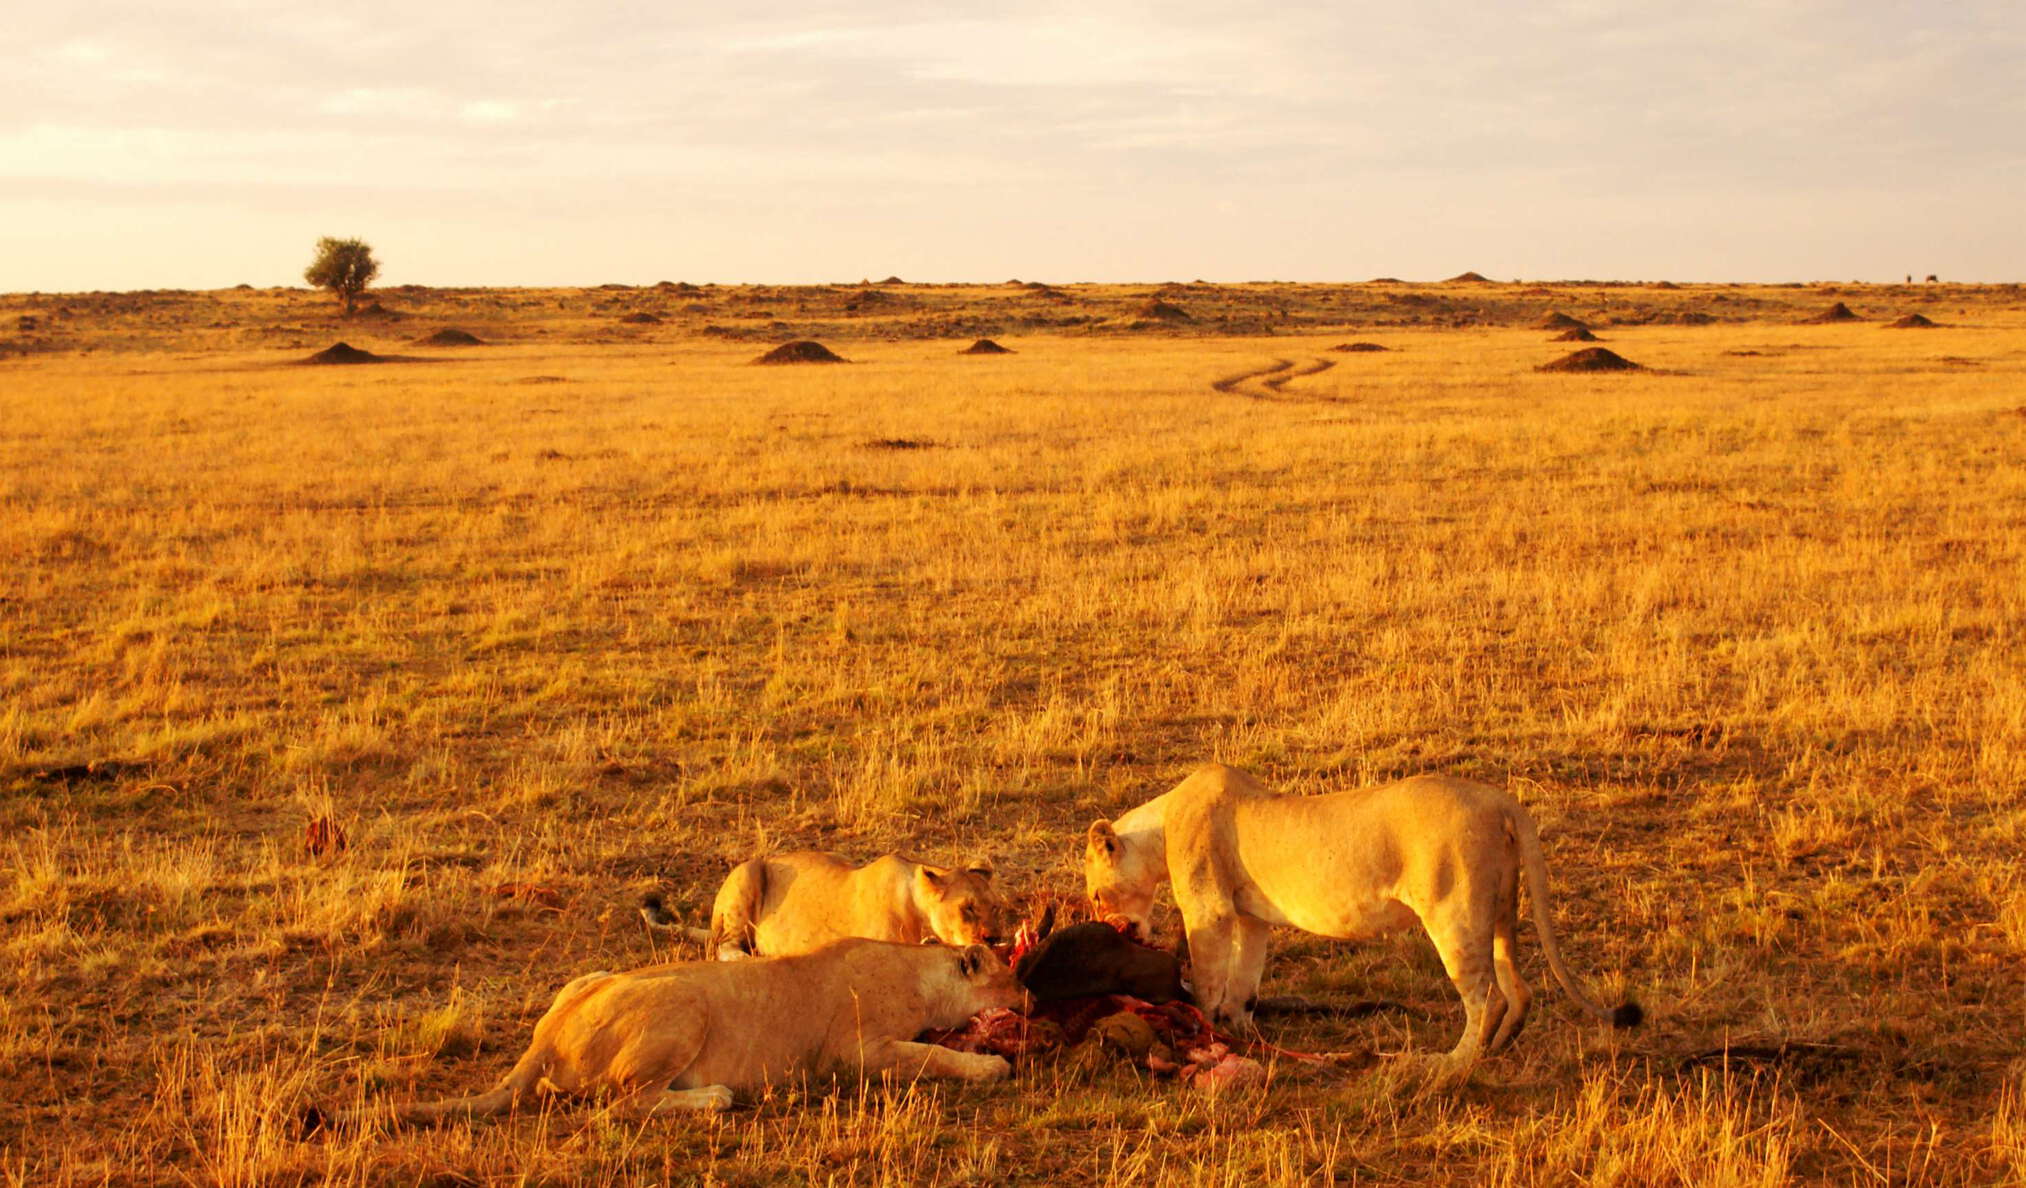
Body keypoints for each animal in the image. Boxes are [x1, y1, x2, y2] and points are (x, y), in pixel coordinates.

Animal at [305, 940, 1021, 1127]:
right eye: (1012, 977)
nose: (1033, 995)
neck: (920, 965)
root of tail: (545, 1037)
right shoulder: (854, 1053)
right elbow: (929, 1056)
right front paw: (992, 1066)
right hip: (685, 1002)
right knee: (618, 1103)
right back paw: (713, 1100)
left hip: (590, 979)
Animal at [1085, 762, 1637, 1070]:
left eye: (1095, 896)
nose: (1116, 926)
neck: (1161, 826)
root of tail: (1501, 800)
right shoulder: (1250, 918)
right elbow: (1245, 980)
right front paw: (1243, 1033)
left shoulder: (1210, 908)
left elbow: (1206, 981)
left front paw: (1205, 1030)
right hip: (1501, 909)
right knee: (1519, 991)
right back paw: (1497, 1050)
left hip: (1453, 910)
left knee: (1488, 996)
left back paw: (1454, 1062)